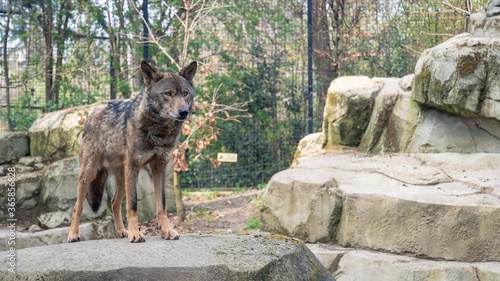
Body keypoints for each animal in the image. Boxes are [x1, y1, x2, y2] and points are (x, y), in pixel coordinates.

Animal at [67, 60, 196, 242]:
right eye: (168, 94)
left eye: (185, 94)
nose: (184, 112)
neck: (158, 132)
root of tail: (92, 113)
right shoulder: (134, 167)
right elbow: (133, 205)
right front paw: (136, 233)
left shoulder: (159, 168)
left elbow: (161, 205)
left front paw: (166, 231)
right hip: (90, 175)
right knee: (77, 206)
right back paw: (73, 234)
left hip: (123, 179)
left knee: (114, 203)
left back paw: (121, 231)